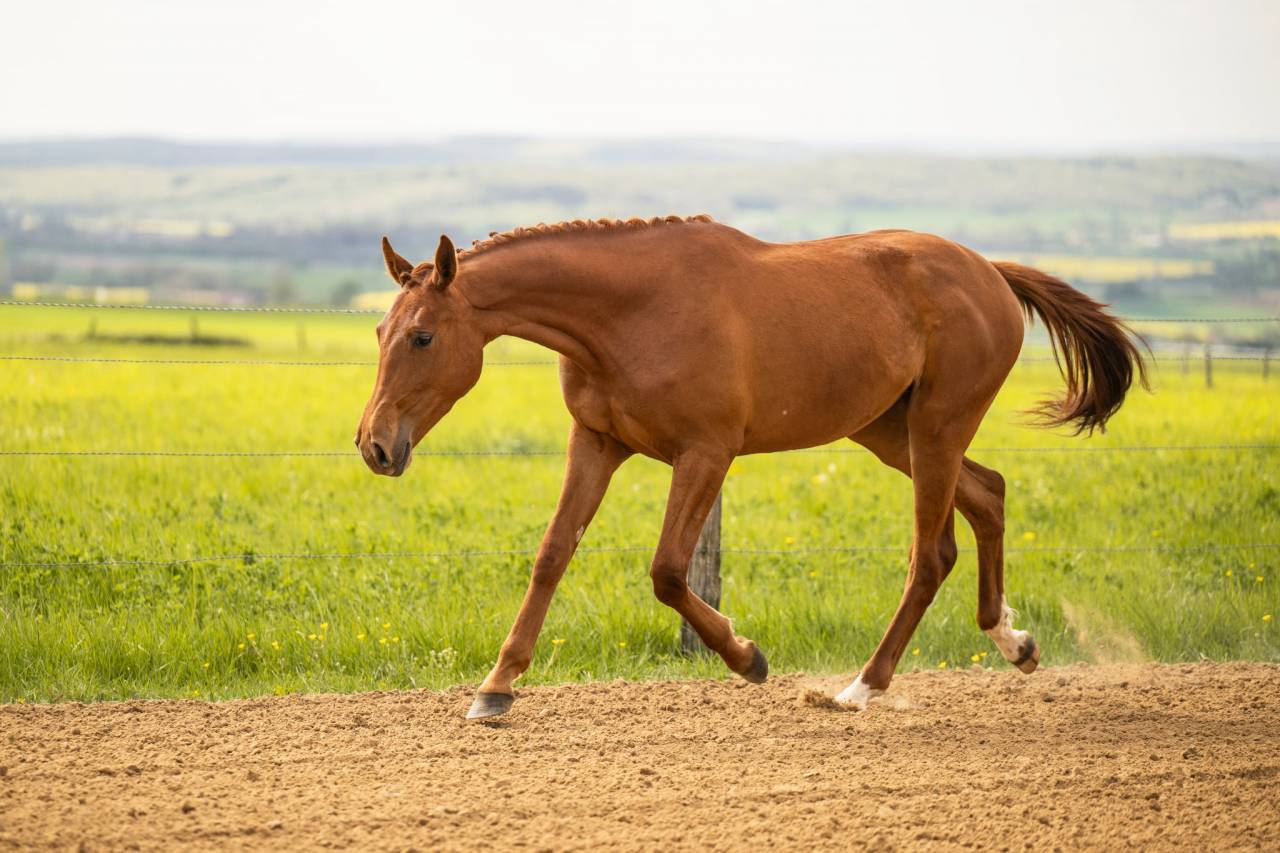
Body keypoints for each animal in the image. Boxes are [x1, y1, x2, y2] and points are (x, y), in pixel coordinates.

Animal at [355, 215, 1146, 719]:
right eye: (380, 330)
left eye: (423, 336)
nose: (375, 445)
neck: (628, 313)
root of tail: (990, 272)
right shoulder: (596, 442)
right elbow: (552, 556)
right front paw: (495, 688)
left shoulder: (706, 453)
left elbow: (668, 571)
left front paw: (747, 657)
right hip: (891, 432)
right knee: (989, 496)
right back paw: (1014, 641)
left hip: (936, 428)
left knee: (931, 553)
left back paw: (861, 688)